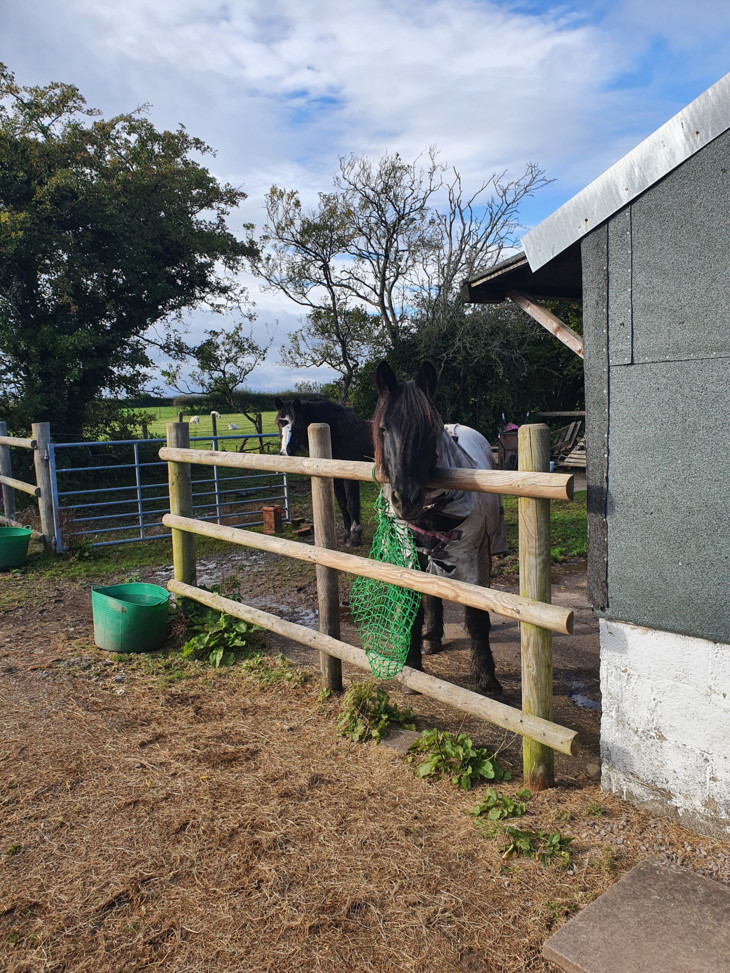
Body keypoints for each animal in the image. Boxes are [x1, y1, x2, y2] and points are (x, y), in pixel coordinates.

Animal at [274, 394, 372, 548]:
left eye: (297, 424)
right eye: (280, 423)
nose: (284, 453)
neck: (341, 434)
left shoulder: (350, 478)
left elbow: (352, 504)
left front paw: (355, 538)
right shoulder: (336, 477)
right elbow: (342, 504)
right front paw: (346, 535)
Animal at [370, 360, 506, 696]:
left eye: (427, 430)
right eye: (383, 429)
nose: (405, 499)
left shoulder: (473, 556)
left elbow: (476, 616)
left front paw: (487, 679)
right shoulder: (407, 555)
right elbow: (414, 607)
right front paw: (412, 668)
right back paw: (431, 639)